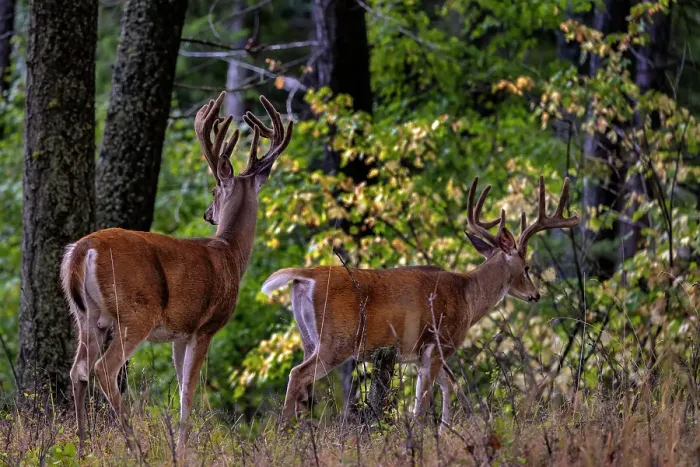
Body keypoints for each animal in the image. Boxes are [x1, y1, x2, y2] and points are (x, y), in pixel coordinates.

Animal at [60, 91, 293, 456]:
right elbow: (188, 392)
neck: (229, 253)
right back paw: (136, 448)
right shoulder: (205, 327)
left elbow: (182, 387)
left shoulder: (179, 334)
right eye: (214, 189)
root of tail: (82, 251)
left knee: (78, 370)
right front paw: (182, 450)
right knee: (103, 369)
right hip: (134, 312)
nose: (208, 214)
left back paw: (84, 449)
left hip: (86, 315)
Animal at [262, 175, 579, 429]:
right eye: (526, 267)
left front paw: (444, 432)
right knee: (297, 374)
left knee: (303, 383)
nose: (535, 294)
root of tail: (306, 275)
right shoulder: (438, 343)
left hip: (308, 339)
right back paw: (283, 433)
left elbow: (448, 387)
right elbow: (423, 403)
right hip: (335, 341)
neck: (468, 296)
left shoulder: (417, 353)